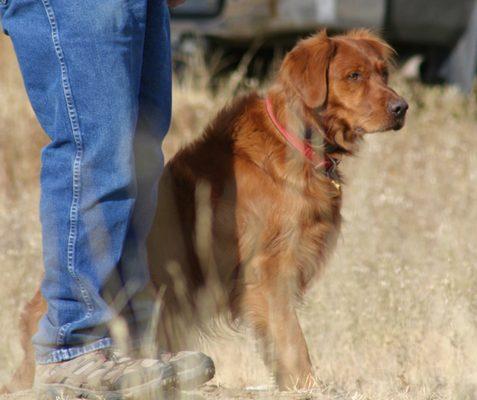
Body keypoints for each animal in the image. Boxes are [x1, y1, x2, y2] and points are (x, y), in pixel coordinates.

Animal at [3, 29, 406, 392]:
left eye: (383, 72)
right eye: (353, 76)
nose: (401, 108)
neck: (296, 140)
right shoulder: (268, 271)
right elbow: (292, 341)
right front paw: (308, 386)